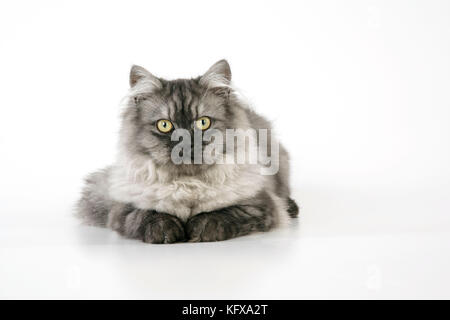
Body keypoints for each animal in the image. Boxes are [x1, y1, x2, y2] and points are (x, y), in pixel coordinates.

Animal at [75, 60, 298, 244]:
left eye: (203, 123)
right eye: (164, 125)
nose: (186, 143)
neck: (187, 183)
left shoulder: (259, 205)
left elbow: (223, 214)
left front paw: (199, 228)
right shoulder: (122, 209)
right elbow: (146, 215)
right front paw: (166, 230)